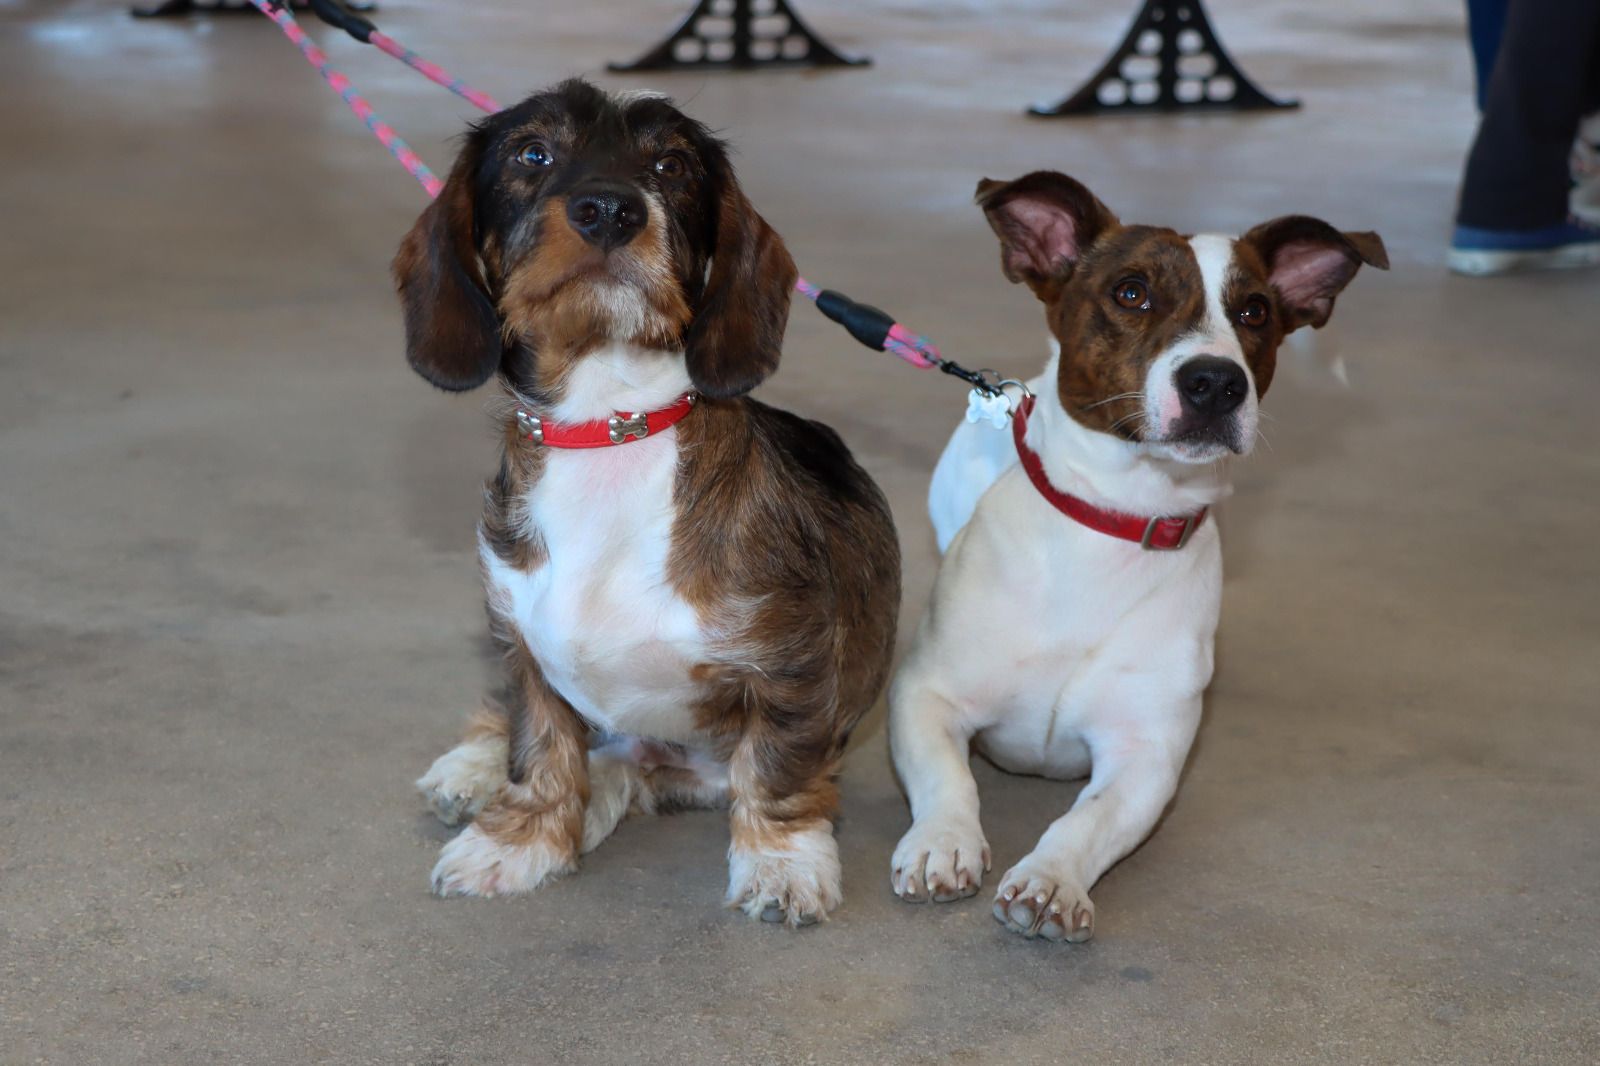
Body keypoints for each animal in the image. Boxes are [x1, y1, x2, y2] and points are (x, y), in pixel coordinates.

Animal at [400, 80, 902, 921]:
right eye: (532, 153)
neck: (611, 425)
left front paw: (783, 864)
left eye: (672, 166)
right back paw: (470, 768)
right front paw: (517, 840)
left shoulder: (792, 668)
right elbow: (540, 748)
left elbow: (778, 767)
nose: (609, 209)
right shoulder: (525, 650)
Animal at [889, 172, 1388, 941]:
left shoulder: (1145, 757)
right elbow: (951, 777)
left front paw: (1051, 879)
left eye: (1255, 310)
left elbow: (1085, 822)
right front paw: (942, 841)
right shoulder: (924, 694)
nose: (1216, 382)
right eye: (1131, 292)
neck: (1112, 522)